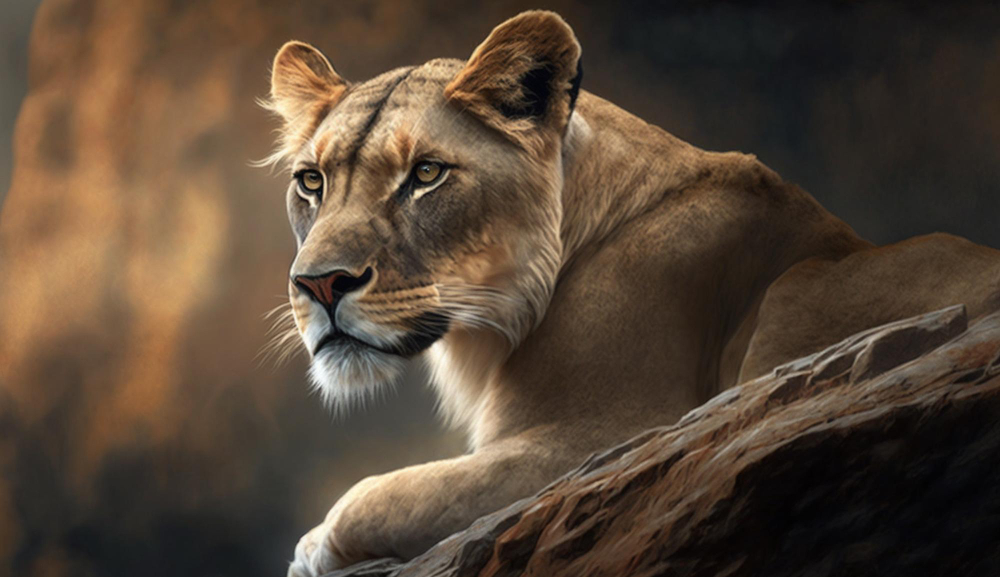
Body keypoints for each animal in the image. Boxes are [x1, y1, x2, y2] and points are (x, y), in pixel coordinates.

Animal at [261, 11, 1000, 576]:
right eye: (311, 182)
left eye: (426, 174)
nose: (319, 282)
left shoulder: (606, 438)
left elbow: (379, 494)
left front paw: (312, 547)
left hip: (795, 295)